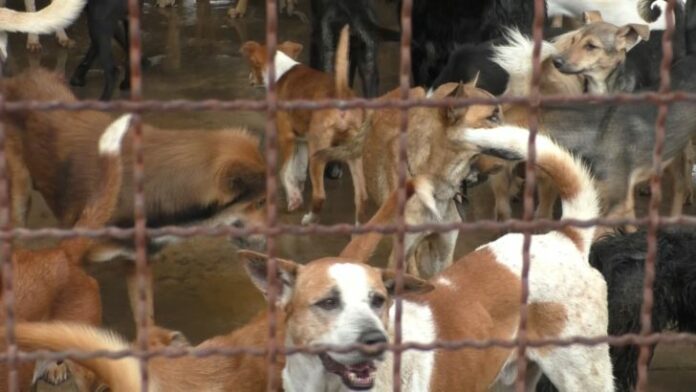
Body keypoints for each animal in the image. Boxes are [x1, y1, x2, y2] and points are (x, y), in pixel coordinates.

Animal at [242, 26, 368, 225]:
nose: (249, 78)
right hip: (352, 152)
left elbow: (284, 171)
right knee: (362, 195)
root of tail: (341, 92)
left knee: (320, 195)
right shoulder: (302, 141)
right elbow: (298, 170)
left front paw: (293, 199)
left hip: (318, 151)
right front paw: (297, 190)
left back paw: (310, 218)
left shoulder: (286, 137)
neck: (281, 69)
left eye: (252, 65)